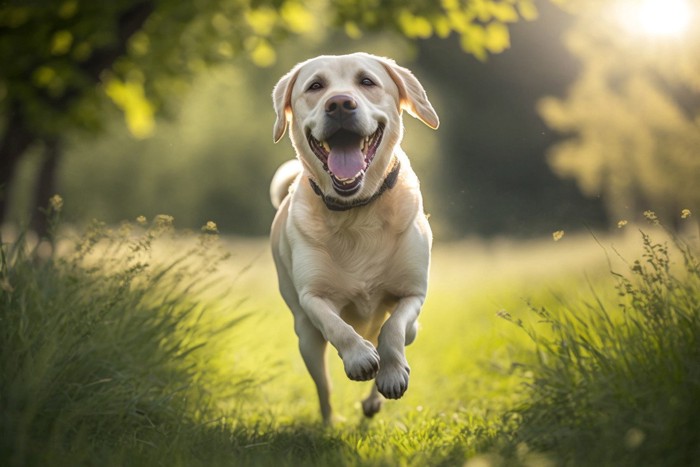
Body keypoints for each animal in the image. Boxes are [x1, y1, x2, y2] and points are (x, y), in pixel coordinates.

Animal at [268, 52, 438, 424]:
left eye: (367, 81)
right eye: (315, 86)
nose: (340, 104)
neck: (357, 210)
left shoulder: (413, 294)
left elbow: (393, 330)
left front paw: (391, 373)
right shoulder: (312, 297)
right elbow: (337, 327)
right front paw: (359, 357)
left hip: (411, 327)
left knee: (396, 333)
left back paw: (375, 398)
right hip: (305, 338)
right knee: (323, 386)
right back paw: (330, 422)